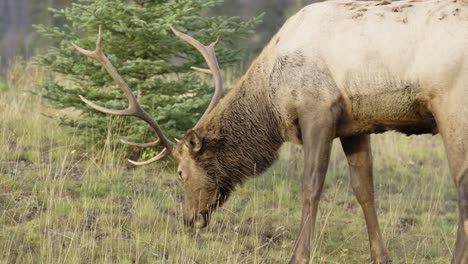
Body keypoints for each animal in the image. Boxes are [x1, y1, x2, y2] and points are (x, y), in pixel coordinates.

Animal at [73, 0, 468, 262]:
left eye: (181, 172)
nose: (188, 220)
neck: (270, 98)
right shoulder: (356, 123)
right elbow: (364, 190)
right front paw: (379, 256)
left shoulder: (317, 110)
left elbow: (311, 187)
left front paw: (299, 255)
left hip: (452, 106)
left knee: (461, 186)